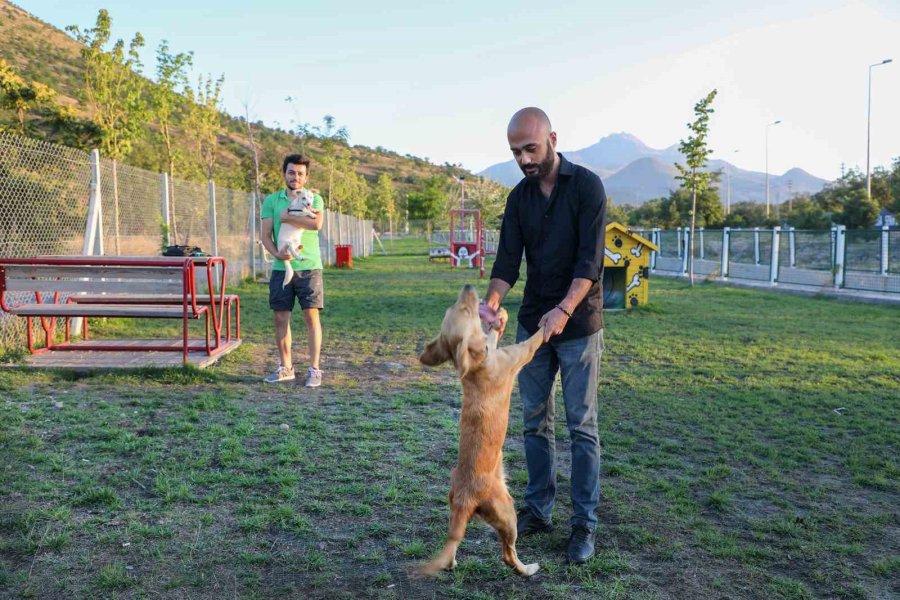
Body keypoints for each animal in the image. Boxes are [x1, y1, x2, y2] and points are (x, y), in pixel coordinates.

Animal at [416, 284, 548, 576]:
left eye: (455, 307)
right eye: (466, 310)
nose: (468, 286)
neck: (477, 363)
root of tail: (465, 500)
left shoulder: (492, 347)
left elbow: (492, 336)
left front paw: (500, 319)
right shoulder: (518, 355)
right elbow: (534, 340)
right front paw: (550, 322)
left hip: (458, 512)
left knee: (454, 545)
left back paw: (452, 562)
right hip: (508, 513)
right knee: (508, 555)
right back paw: (529, 568)